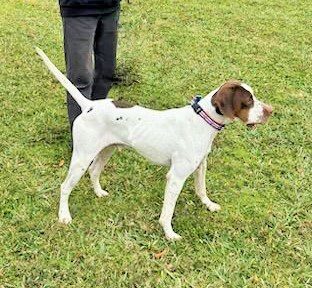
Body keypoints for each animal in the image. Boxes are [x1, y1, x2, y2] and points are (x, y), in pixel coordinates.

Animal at [35, 47, 272, 241]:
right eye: (248, 101)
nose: (270, 111)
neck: (201, 119)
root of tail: (89, 106)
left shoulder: (200, 166)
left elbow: (201, 190)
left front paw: (209, 205)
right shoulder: (176, 177)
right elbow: (168, 211)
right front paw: (169, 233)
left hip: (106, 150)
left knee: (94, 171)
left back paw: (99, 193)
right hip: (82, 157)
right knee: (65, 186)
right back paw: (64, 216)